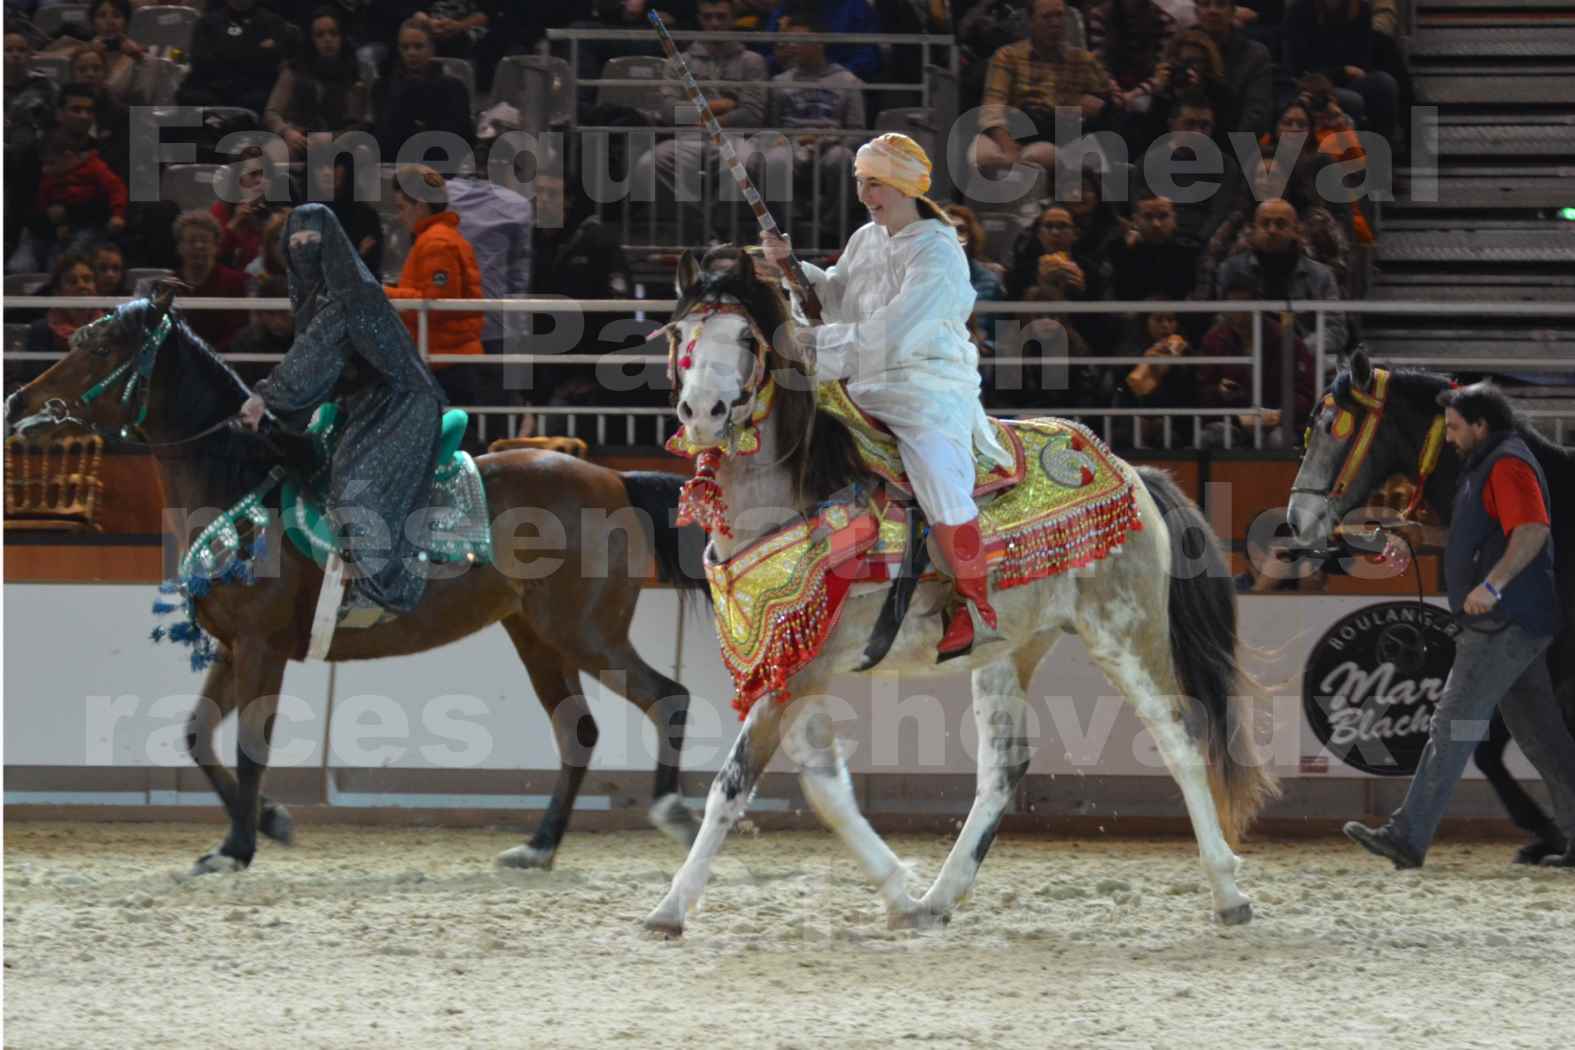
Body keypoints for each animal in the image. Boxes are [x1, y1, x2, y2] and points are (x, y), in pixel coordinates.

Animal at [1, 284, 708, 868]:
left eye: (98, 348)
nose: (17, 403)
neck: (241, 483)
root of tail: (615, 479)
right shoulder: (232, 648)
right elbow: (198, 735)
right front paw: (268, 823)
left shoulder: (261, 649)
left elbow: (249, 747)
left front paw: (237, 846)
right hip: (536, 636)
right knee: (578, 733)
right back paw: (538, 846)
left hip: (586, 633)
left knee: (668, 696)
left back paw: (672, 811)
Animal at [639, 251, 1278, 938]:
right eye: (681, 335)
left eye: (746, 338)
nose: (702, 411)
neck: (801, 496)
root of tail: (1136, 475)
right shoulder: (796, 667)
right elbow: (826, 787)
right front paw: (898, 893)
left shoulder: (796, 673)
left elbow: (732, 785)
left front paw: (670, 907)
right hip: (1008, 650)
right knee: (1004, 767)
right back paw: (940, 896)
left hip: (1126, 635)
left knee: (1180, 740)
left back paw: (1227, 890)